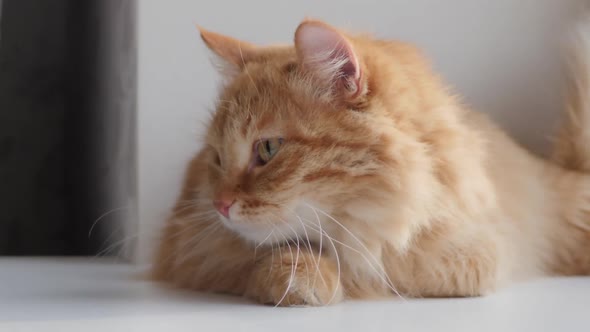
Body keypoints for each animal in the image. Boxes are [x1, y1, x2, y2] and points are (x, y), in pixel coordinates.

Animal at [153, 19, 590, 306]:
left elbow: (412, 268)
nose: (220, 205)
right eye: (217, 157)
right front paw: (304, 277)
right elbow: (268, 256)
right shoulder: (191, 246)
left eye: (268, 149)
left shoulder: (483, 248)